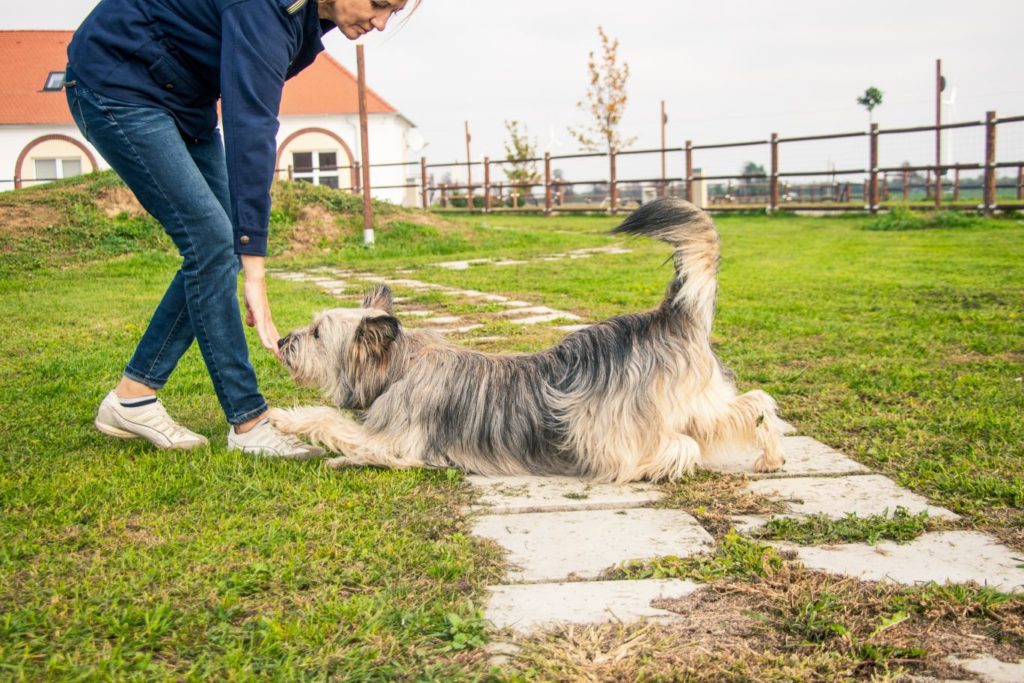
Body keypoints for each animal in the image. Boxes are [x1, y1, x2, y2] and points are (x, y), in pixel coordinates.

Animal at [270, 197, 782, 481]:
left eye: (316, 332)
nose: (280, 342)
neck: (399, 366)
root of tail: (668, 316)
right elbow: (351, 440)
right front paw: (337, 458)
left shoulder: (400, 440)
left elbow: (334, 423)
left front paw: (286, 418)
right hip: (697, 403)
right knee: (752, 405)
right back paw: (771, 456)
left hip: (600, 426)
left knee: (679, 447)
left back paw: (652, 466)